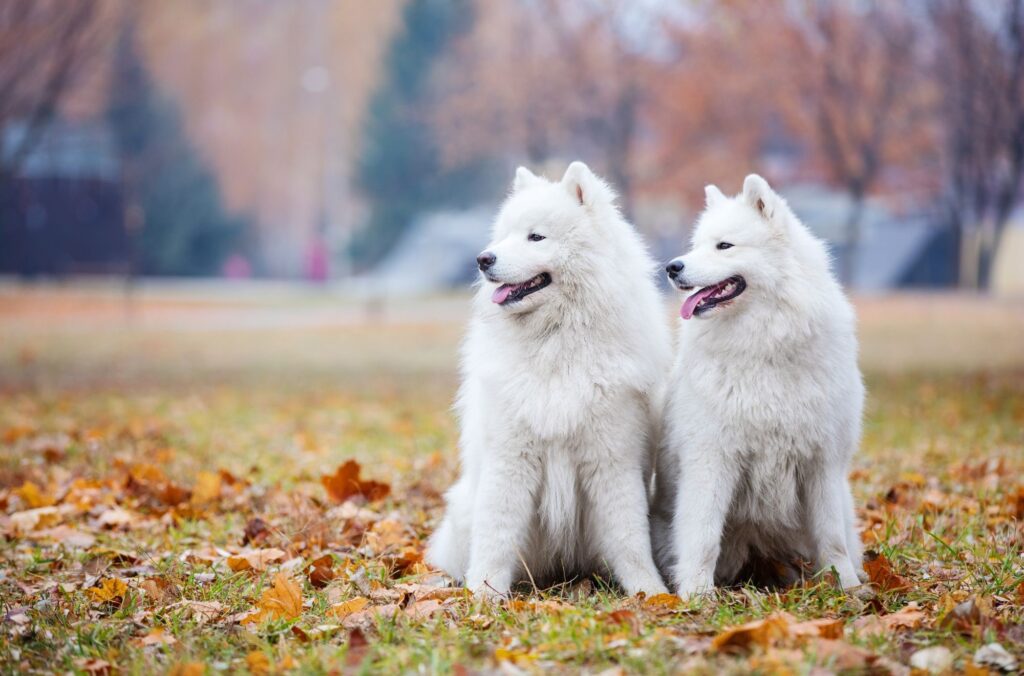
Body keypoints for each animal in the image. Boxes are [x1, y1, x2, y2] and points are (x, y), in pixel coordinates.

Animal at [425, 162, 671, 598]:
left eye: (535, 236)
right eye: (504, 234)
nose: (483, 258)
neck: (557, 341)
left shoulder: (612, 459)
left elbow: (629, 536)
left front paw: (650, 591)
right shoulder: (511, 458)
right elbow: (496, 535)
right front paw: (483, 594)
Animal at [647, 174, 864, 598]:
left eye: (724, 246)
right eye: (697, 244)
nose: (672, 267)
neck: (764, 344)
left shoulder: (822, 462)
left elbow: (831, 536)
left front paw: (844, 586)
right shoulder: (712, 459)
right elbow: (702, 535)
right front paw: (697, 594)